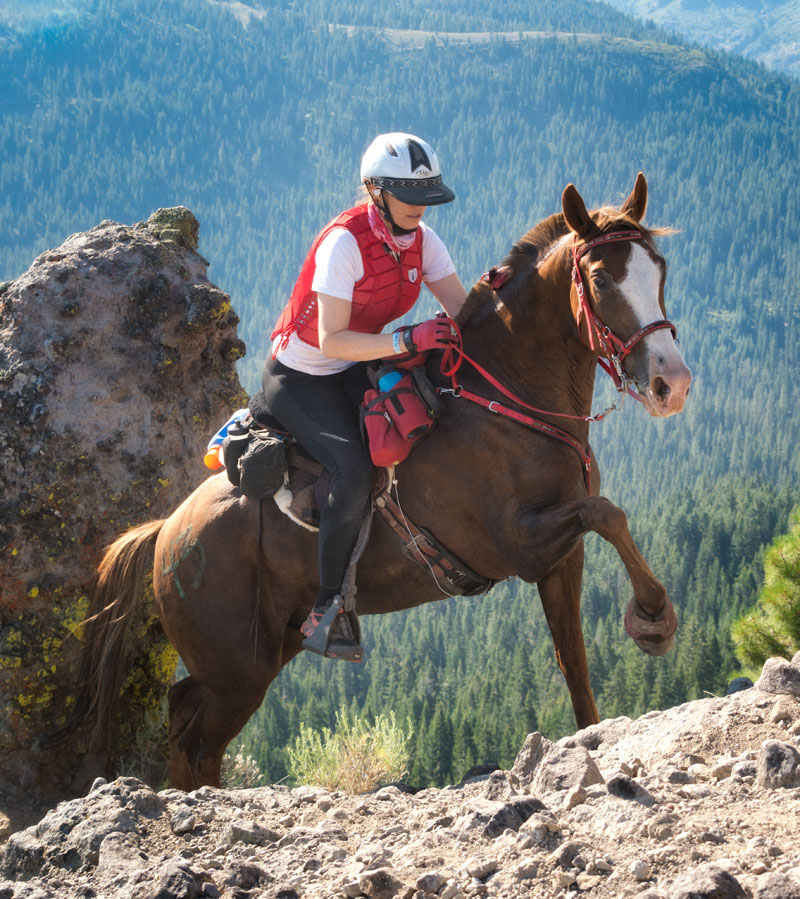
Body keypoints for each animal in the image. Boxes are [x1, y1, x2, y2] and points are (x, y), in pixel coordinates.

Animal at [79, 174, 692, 788]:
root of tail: (167, 530)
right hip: (238, 669)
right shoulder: (517, 545)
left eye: (660, 268)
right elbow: (606, 513)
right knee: (198, 739)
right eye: (600, 278)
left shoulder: (560, 561)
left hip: (266, 647)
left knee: (185, 714)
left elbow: (576, 664)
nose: (673, 383)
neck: (506, 399)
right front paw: (653, 618)